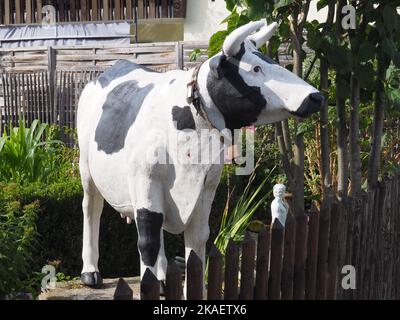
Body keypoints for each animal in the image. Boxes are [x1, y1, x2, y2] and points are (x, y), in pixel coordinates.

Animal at [76, 20, 324, 292]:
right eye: (256, 68)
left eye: (269, 60)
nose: (316, 97)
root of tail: (111, 69)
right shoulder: (144, 179)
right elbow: (148, 238)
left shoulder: (206, 185)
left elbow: (197, 238)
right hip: (86, 168)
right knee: (92, 207)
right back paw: (90, 273)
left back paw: (163, 278)